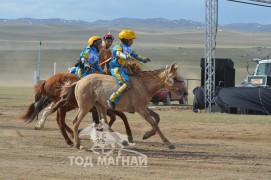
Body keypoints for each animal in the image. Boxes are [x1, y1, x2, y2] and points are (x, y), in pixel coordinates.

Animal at [52, 63, 189, 149]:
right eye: (174, 78)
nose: (185, 93)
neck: (144, 84)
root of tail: (79, 81)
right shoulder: (140, 109)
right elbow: (153, 122)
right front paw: (168, 143)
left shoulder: (144, 107)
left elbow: (157, 118)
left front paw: (146, 135)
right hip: (85, 107)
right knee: (75, 122)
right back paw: (77, 144)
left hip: (100, 106)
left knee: (104, 123)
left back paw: (121, 141)